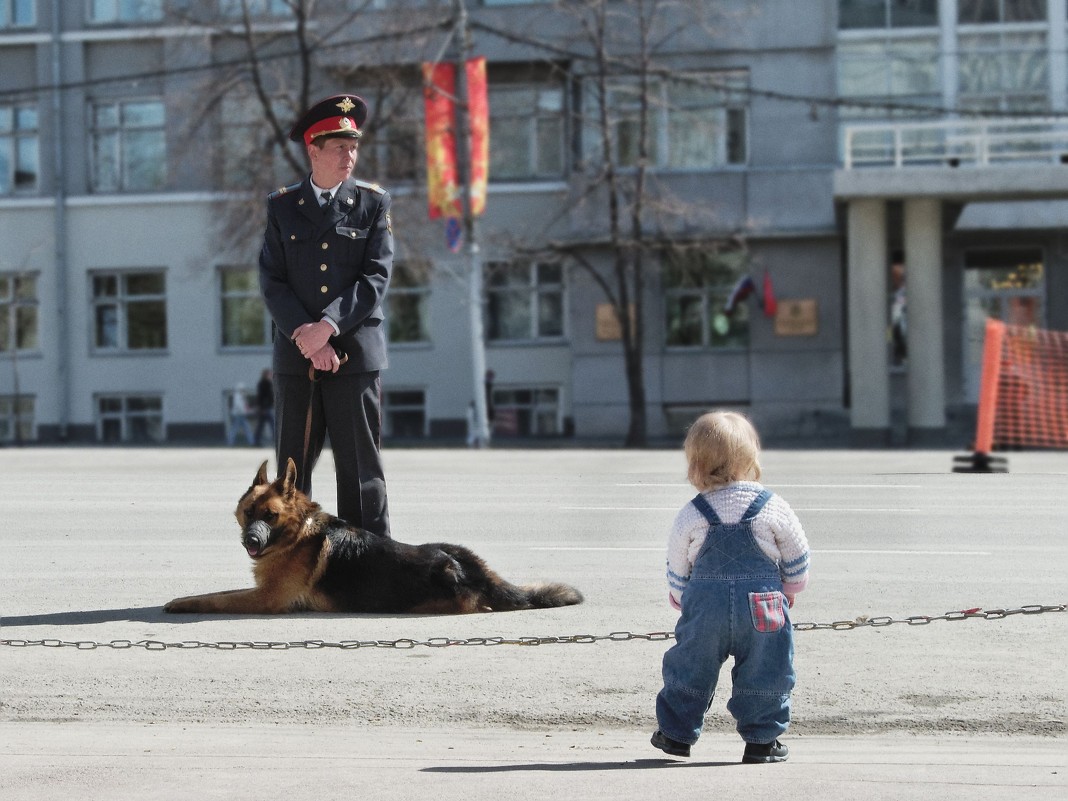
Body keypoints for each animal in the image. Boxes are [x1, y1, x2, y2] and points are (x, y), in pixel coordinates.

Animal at [164, 457, 585, 615]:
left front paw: (180, 603)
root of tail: (475, 571)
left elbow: (215, 598)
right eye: (250, 513)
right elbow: (219, 592)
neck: (297, 532)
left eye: (271, 516)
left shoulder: (266, 599)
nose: (251, 541)